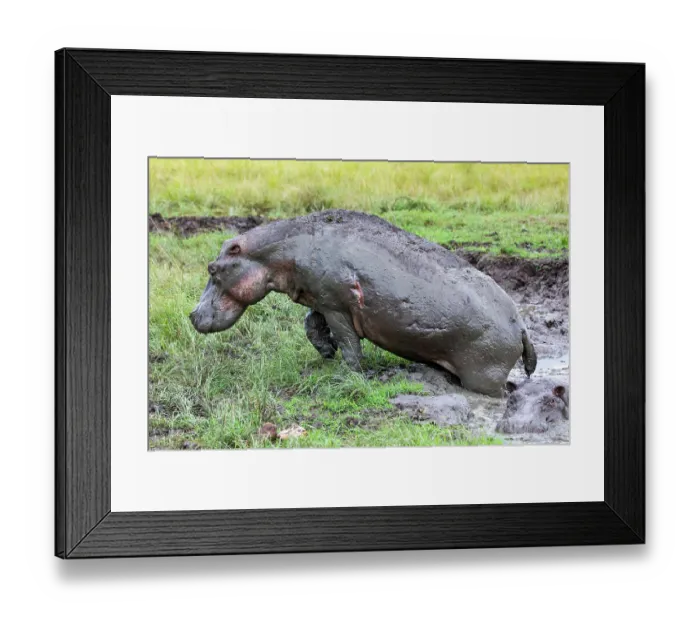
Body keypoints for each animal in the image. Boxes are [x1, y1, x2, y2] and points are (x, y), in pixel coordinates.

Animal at [189, 209, 537, 397]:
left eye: (212, 268)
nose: (192, 314)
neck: (277, 253)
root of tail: (521, 326)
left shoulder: (337, 307)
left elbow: (349, 342)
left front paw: (351, 373)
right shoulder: (321, 298)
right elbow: (310, 323)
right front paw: (326, 353)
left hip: (483, 374)